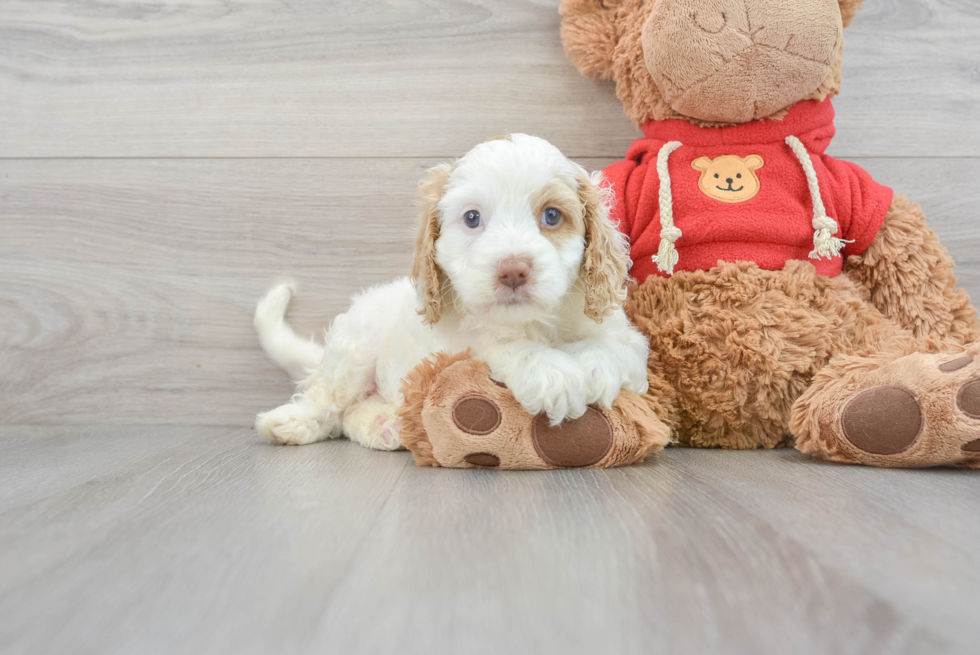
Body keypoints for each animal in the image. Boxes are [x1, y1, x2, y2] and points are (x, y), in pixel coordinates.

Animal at [253, 135, 652, 452]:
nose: (513, 270)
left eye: (552, 216)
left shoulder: (624, 334)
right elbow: (496, 342)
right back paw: (291, 423)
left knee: (352, 413)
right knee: (329, 402)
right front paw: (551, 371)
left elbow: (618, 348)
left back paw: (385, 425)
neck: (534, 322)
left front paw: (593, 365)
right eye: (472, 218)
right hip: (355, 347)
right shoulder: (457, 344)